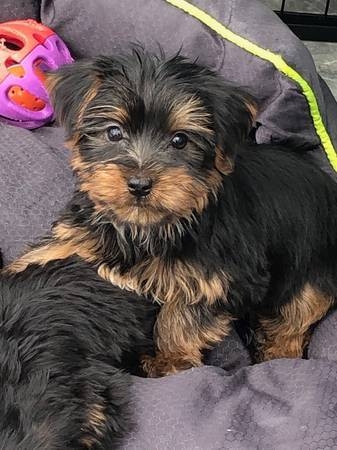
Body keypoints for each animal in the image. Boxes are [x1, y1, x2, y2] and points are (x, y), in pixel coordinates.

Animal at [6, 51, 336, 378]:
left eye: (179, 140)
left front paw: (169, 359)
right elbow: (54, 248)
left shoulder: (220, 275)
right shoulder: (90, 228)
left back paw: (277, 353)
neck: (146, 226)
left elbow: (182, 315)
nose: (139, 184)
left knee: (295, 318)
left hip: (312, 276)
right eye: (114, 132)